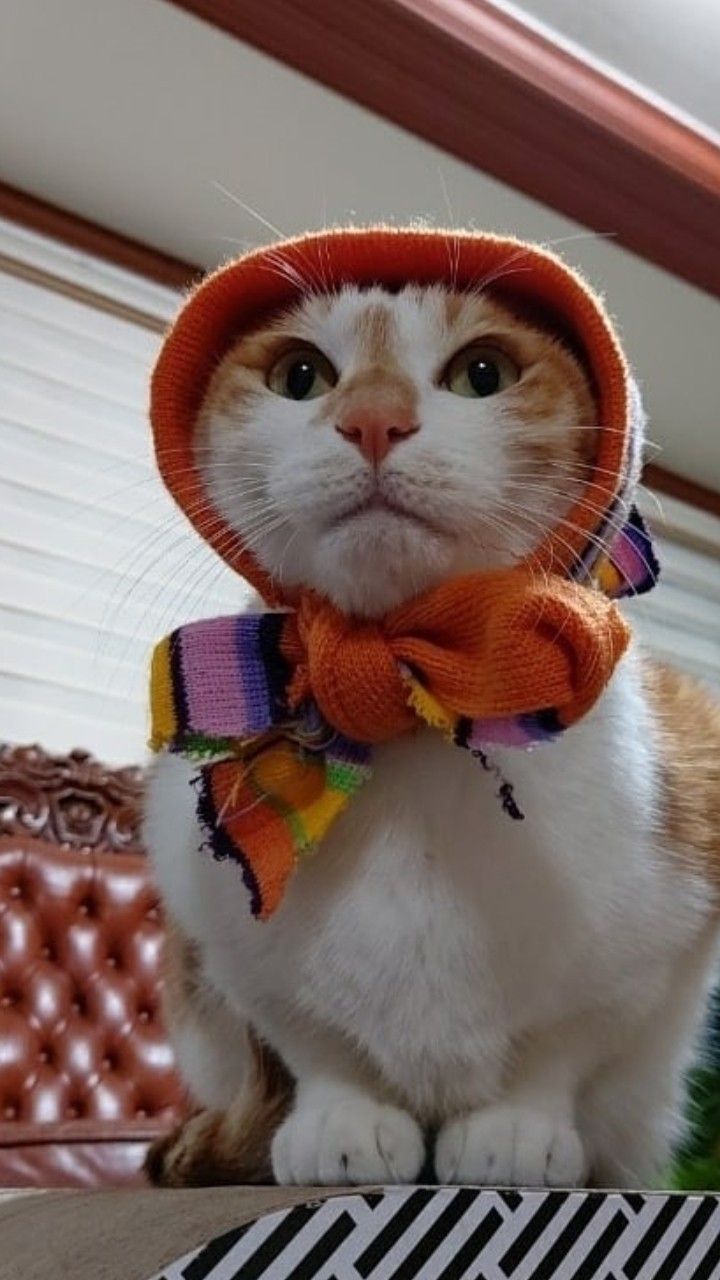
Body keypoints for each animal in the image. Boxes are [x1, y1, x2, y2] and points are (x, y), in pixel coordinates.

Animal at [141, 280, 717, 1187]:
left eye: (484, 373)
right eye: (299, 375)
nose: (374, 418)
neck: (410, 710)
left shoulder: (652, 934)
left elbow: (567, 1041)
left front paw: (515, 1125)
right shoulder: (220, 928)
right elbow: (310, 1039)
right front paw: (340, 1118)